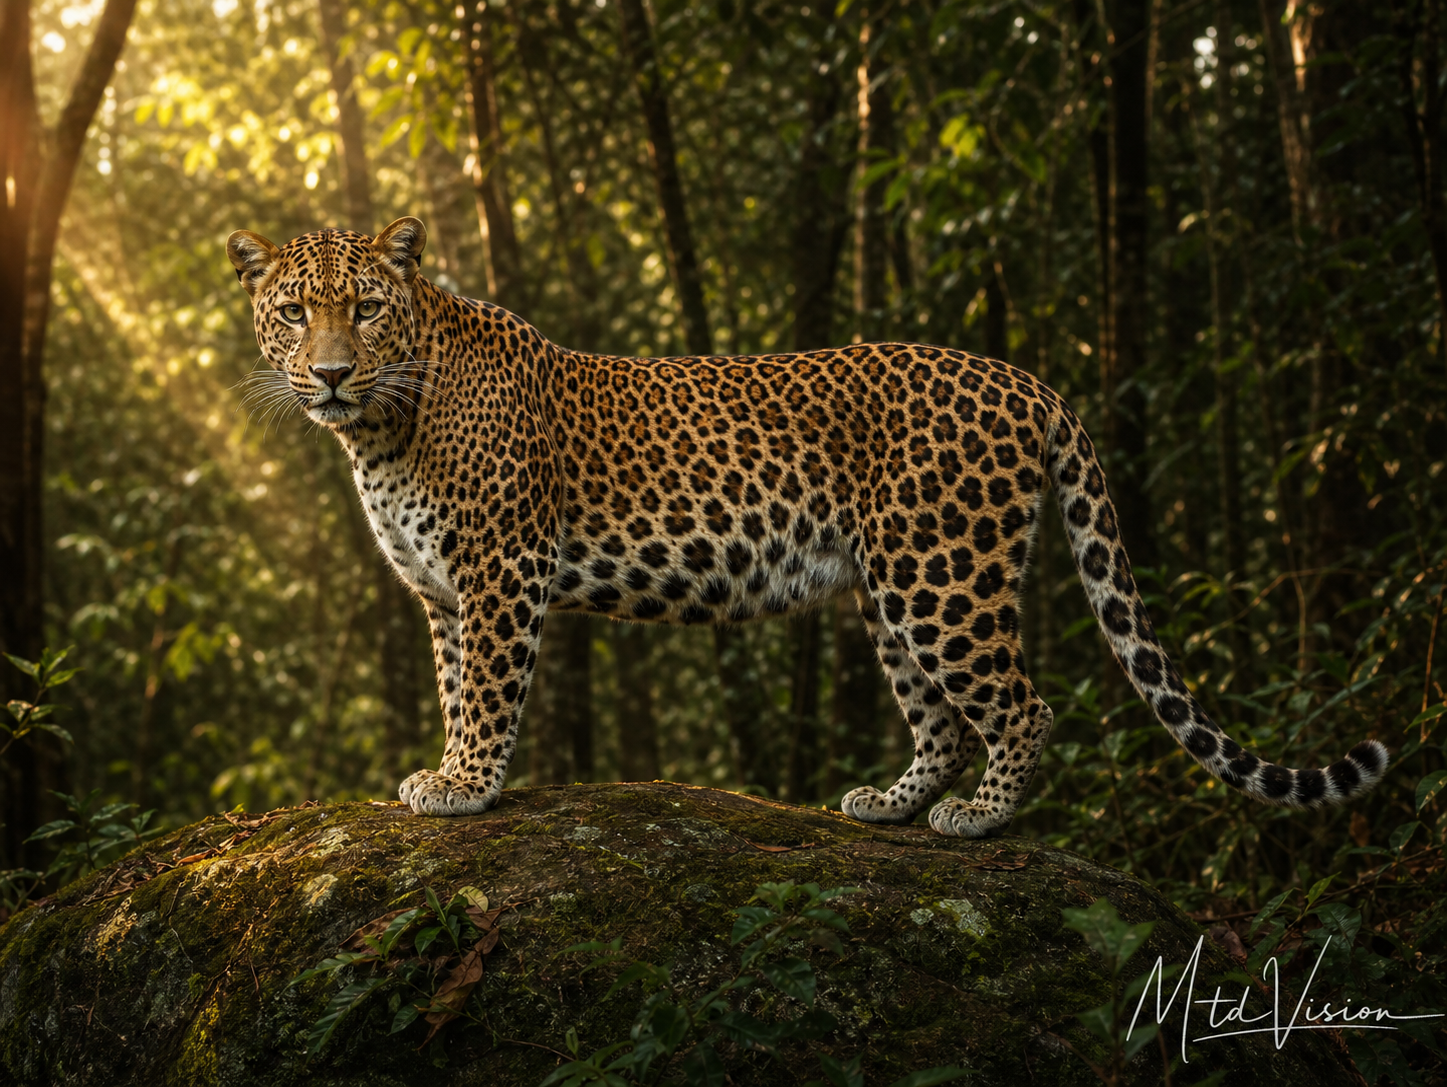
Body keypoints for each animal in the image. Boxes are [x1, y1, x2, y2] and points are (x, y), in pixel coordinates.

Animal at [226, 216, 1389, 838]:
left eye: (366, 307)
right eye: (293, 312)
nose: (329, 373)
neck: (381, 428)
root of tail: (1023, 378)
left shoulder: (500, 571)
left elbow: (489, 692)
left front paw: (465, 786)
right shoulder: (438, 590)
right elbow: (454, 683)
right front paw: (448, 770)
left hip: (943, 577)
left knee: (1022, 705)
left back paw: (981, 818)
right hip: (893, 587)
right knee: (942, 721)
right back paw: (890, 803)